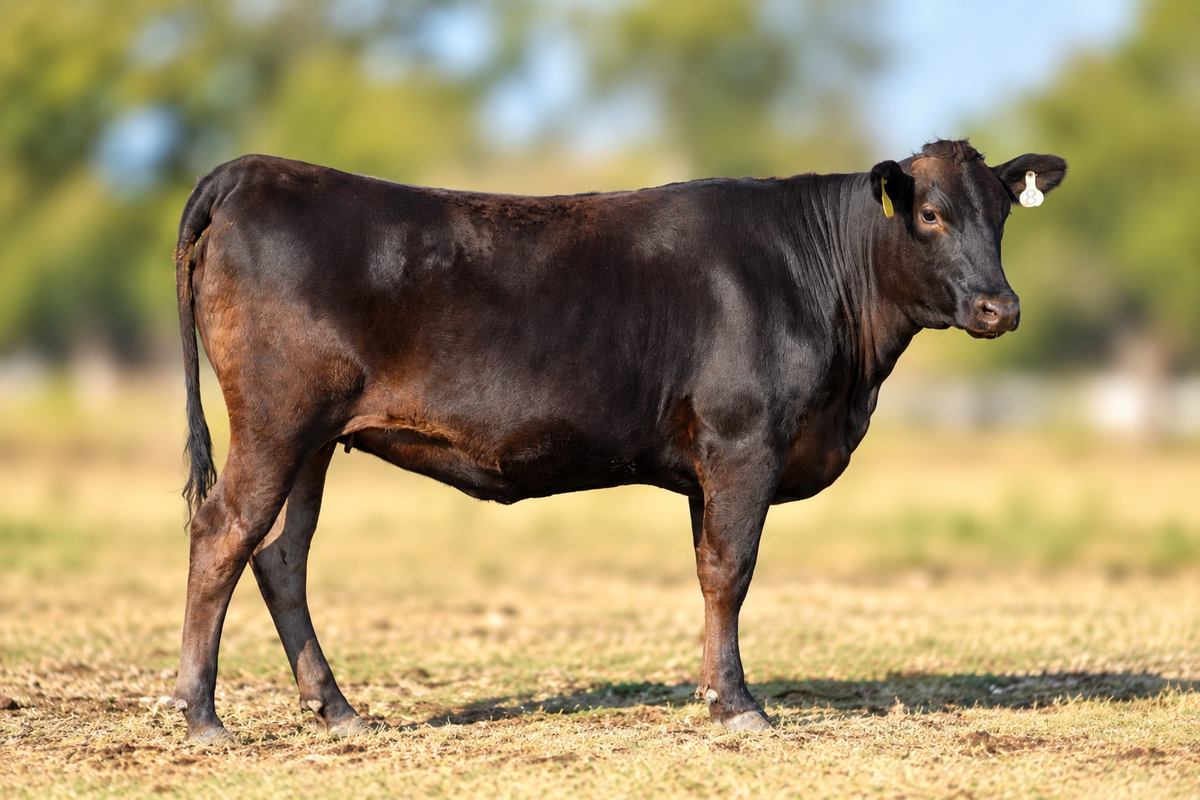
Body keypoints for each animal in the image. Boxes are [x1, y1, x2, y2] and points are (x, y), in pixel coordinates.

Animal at [170, 140, 1066, 743]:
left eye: (1001, 215)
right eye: (930, 214)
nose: (1001, 307)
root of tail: (255, 170)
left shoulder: (708, 466)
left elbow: (710, 572)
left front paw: (714, 693)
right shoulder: (744, 442)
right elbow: (732, 570)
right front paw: (738, 705)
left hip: (316, 439)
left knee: (281, 555)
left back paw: (338, 710)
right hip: (277, 421)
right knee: (221, 533)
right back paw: (201, 712)